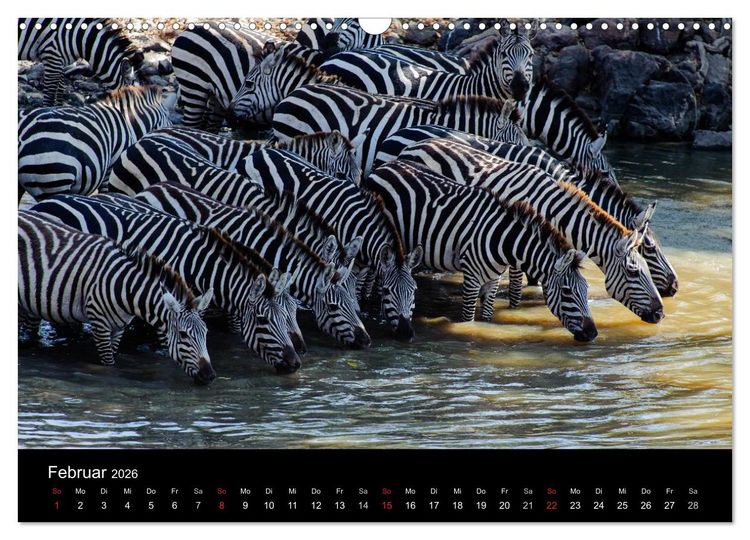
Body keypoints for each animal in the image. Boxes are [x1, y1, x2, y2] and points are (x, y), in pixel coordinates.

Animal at [19, 211, 215, 383]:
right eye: (183, 334)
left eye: (206, 332)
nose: (210, 376)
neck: (127, 288)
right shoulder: (99, 323)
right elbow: (109, 364)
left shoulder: (119, 327)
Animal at [245, 147, 423, 340]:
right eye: (386, 291)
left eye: (414, 290)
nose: (407, 333)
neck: (358, 224)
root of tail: (262, 150)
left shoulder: (359, 263)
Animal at [362, 161, 597, 341]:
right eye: (567, 292)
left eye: (586, 289)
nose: (593, 333)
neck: (503, 241)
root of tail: (383, 167)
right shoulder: (472, 278)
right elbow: (467, 319)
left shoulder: (493, 280)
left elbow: (487, 318)